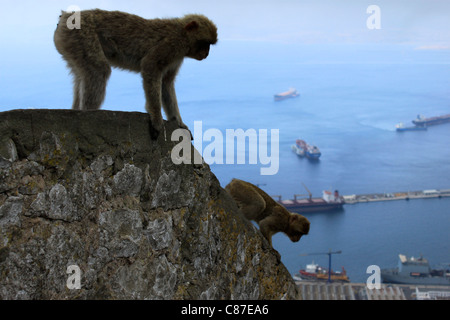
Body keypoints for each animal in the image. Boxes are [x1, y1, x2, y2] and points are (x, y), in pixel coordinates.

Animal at [54, 9, 218, 138]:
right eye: (204, 43)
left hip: (72, 43)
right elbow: (150, 67)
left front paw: (178, 121)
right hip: (81, 35)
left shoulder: (176, 57)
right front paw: (156, 118)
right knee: (99, 69)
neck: (182, 33)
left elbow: (166, 83)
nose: (207, 53)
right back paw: (86, 114)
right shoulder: (171, 45)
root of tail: (65, 16)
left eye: (209, 45)